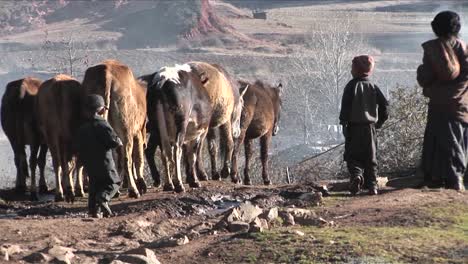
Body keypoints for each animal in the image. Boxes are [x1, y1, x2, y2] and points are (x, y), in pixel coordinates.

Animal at [35, 74, 83, 202]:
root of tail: (58, 84)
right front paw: (77, 189)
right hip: (65, 134)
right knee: (67, 162)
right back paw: (69, 191)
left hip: (51, 133)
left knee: (57, 162)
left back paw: (59, 193)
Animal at [80, 58, 146, 197]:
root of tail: (106, 74)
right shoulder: (136, 132)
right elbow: (138, 158)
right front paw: (141, 183)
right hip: (125, 128)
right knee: (127, 159)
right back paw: (133, 190)